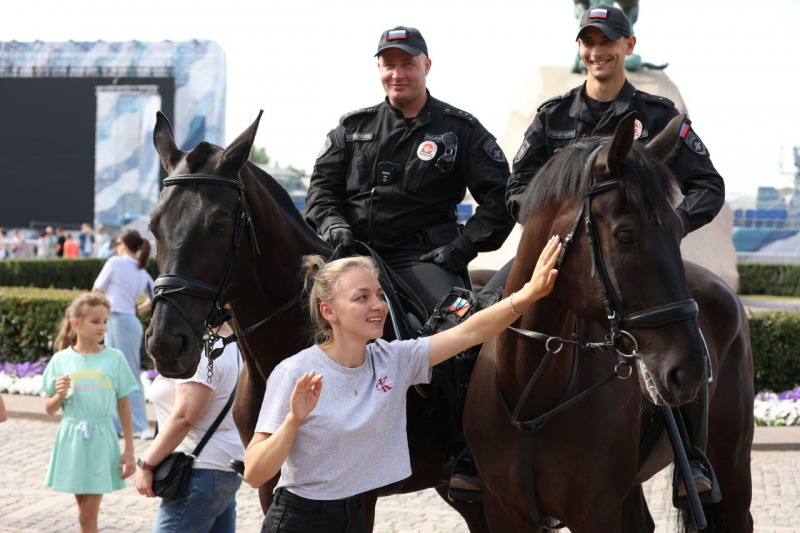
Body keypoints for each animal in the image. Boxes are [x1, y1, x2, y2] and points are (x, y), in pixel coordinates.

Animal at [466, 111, 752, 528]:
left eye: (679, 231)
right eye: (624, 236)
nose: (690, 372)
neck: (532, 392)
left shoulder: (596, 511)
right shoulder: (503, 509)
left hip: (732, 463)